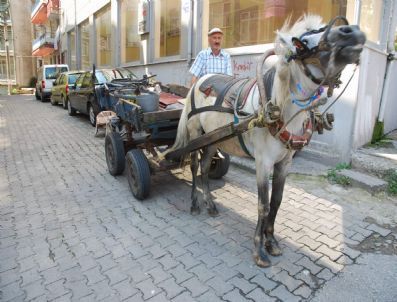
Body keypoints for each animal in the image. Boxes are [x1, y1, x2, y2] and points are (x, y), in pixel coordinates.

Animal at [165, 15, 366, 268]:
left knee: (204, 168)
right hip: (195, 135)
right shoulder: (263, 163)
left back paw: (210, 205)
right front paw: (259, 250)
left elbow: (277, 201)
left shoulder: (284, 163)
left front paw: (272, 242)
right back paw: (194, 204)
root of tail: (197, 83)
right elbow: (263, 204)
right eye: (300, 43)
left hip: (212, 140)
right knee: (193, 167)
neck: (278, 109)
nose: (352, 32)